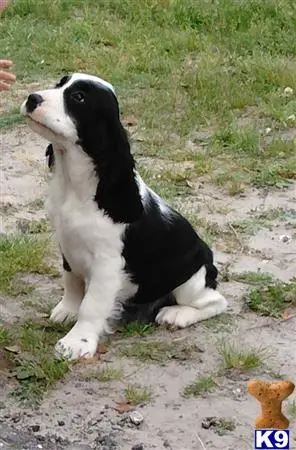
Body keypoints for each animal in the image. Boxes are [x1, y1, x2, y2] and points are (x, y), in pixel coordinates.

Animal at [20, 74, 227, 362]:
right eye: (59, 84)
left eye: (79, 97)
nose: (32, 99)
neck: (77, 185)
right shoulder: (66, 243)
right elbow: (72, 281)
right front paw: (67, 310)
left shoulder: (108, 263)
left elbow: (91, 304)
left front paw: (76, 343)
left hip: (191, 280)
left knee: (216, 301)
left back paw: (176, 314)